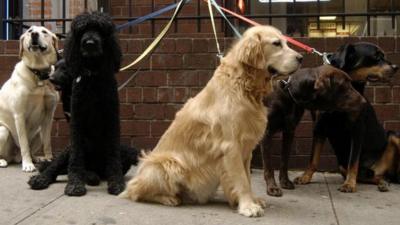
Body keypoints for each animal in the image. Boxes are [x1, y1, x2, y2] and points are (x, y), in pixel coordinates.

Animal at [28, 12, 134, 196]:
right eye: (81, 30)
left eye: (100, 29)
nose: (89, 43)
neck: (92, 77)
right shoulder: (76, 122)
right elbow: (76, 159)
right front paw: (75, 184)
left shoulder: (112, 119)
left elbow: (113, 157)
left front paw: (116, 182)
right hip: (68, 150)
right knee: (56, 167)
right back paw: (42, 179)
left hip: (126, 152)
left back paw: (92, 175)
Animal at [260, 42, 398, 197]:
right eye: (376, 57)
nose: (395, 67)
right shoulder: (317, 127)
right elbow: (311, 159)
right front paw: (301, 178)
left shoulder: (357, 129)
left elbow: (353, 161)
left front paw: (349, 184)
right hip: (345, 166)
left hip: (393, 136)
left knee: (377, 174)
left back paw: (382, 183)